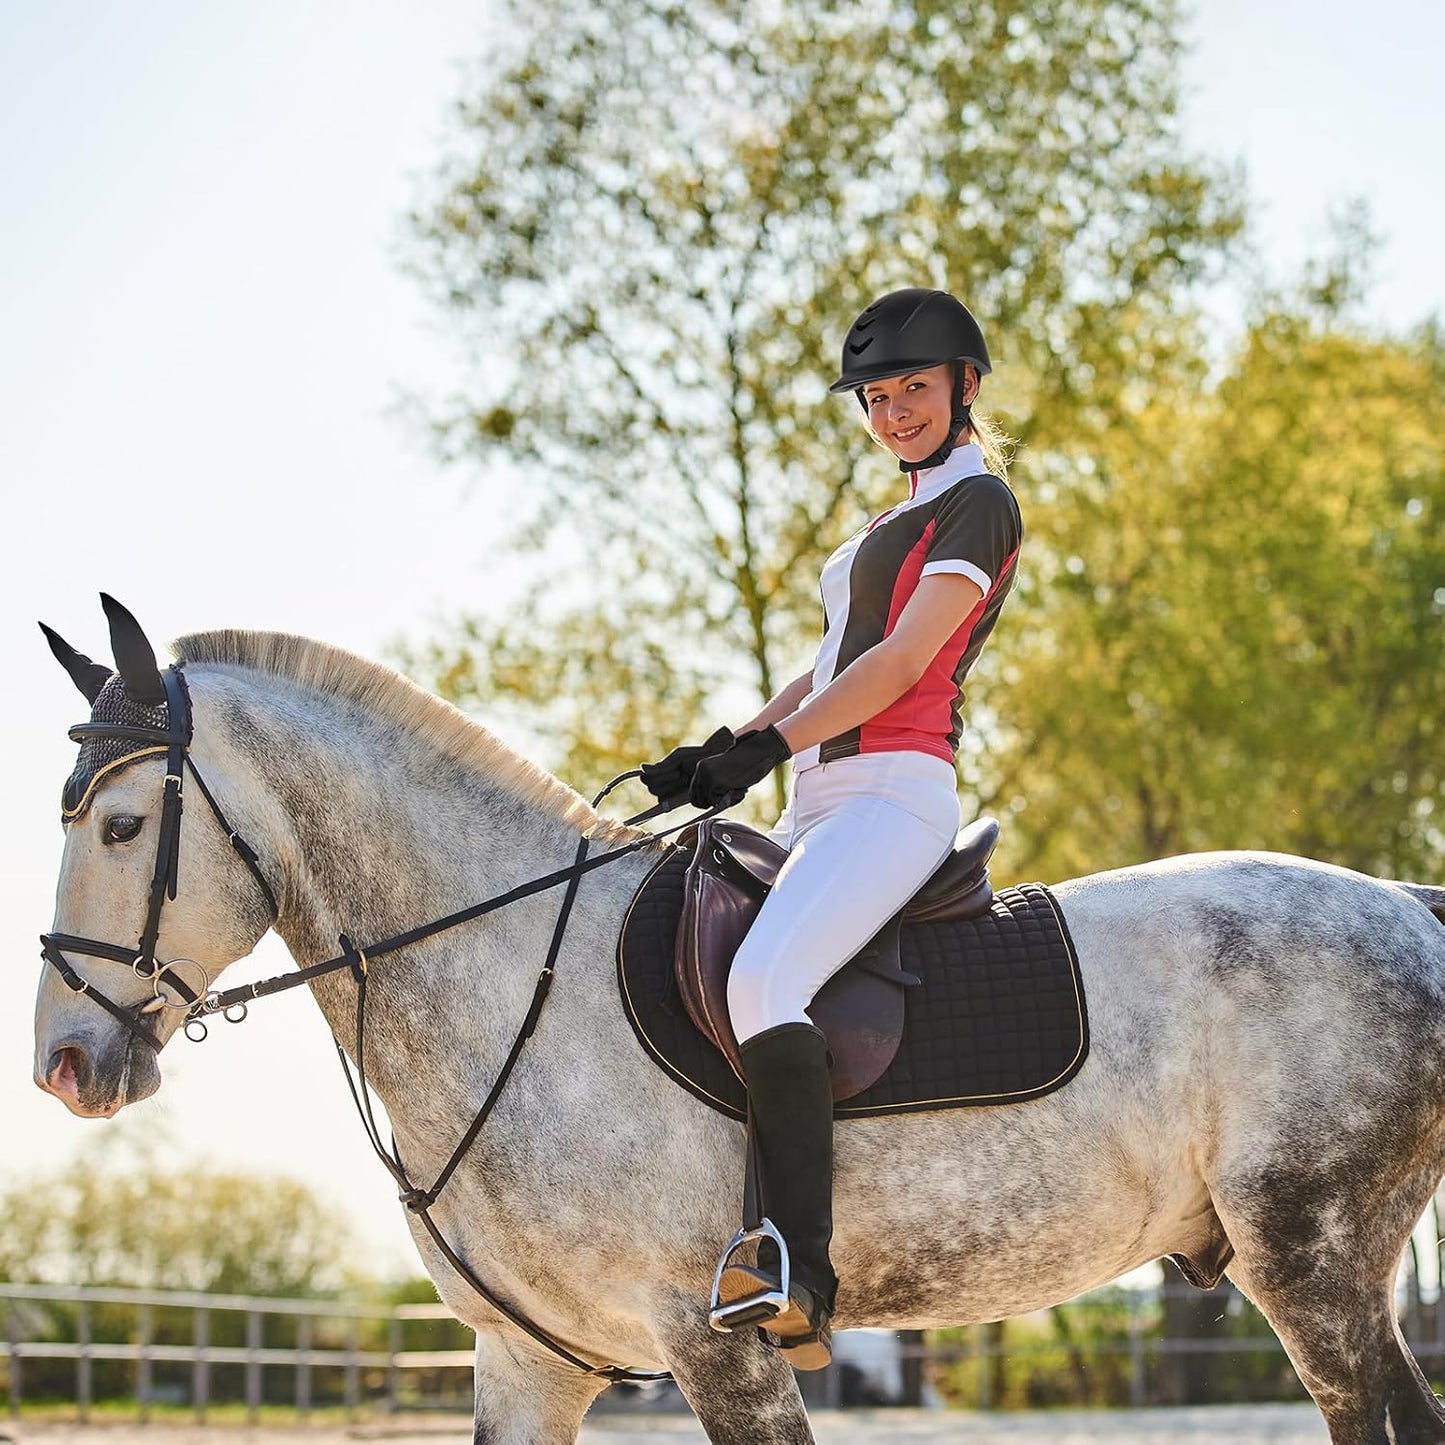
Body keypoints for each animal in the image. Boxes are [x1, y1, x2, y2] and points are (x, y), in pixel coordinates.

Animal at [31, 605, 1445, 1445]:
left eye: (121, 825)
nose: (64, 1065)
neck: (507, 971)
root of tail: (1405, 906)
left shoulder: (717, 1349)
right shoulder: (526, 1358)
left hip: (1312, 1261)